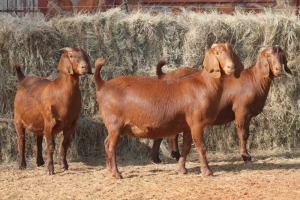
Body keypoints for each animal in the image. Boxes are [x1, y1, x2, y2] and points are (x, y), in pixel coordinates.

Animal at [95, 42, 238, 178]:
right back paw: (116, 173)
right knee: (111, 146)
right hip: (114, 124)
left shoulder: (188, 126)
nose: (231, 67)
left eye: (231, 52)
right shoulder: (197, 123)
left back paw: (109, 169)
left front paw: (181, 169)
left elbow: (186, 148)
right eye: (217, 53)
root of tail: (102, 84)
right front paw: (207, 172)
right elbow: (201, 147)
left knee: (106, 143)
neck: (205, 85)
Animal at [151, 45, 292, 164]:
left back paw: (159, 158)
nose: (278, 69)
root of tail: (164, 76)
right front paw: (245, 156)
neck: (254, 79)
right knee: (171, 134)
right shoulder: (241, 110)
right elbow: (243, 134)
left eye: (282, 57)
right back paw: (173, 155)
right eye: (268, 56)